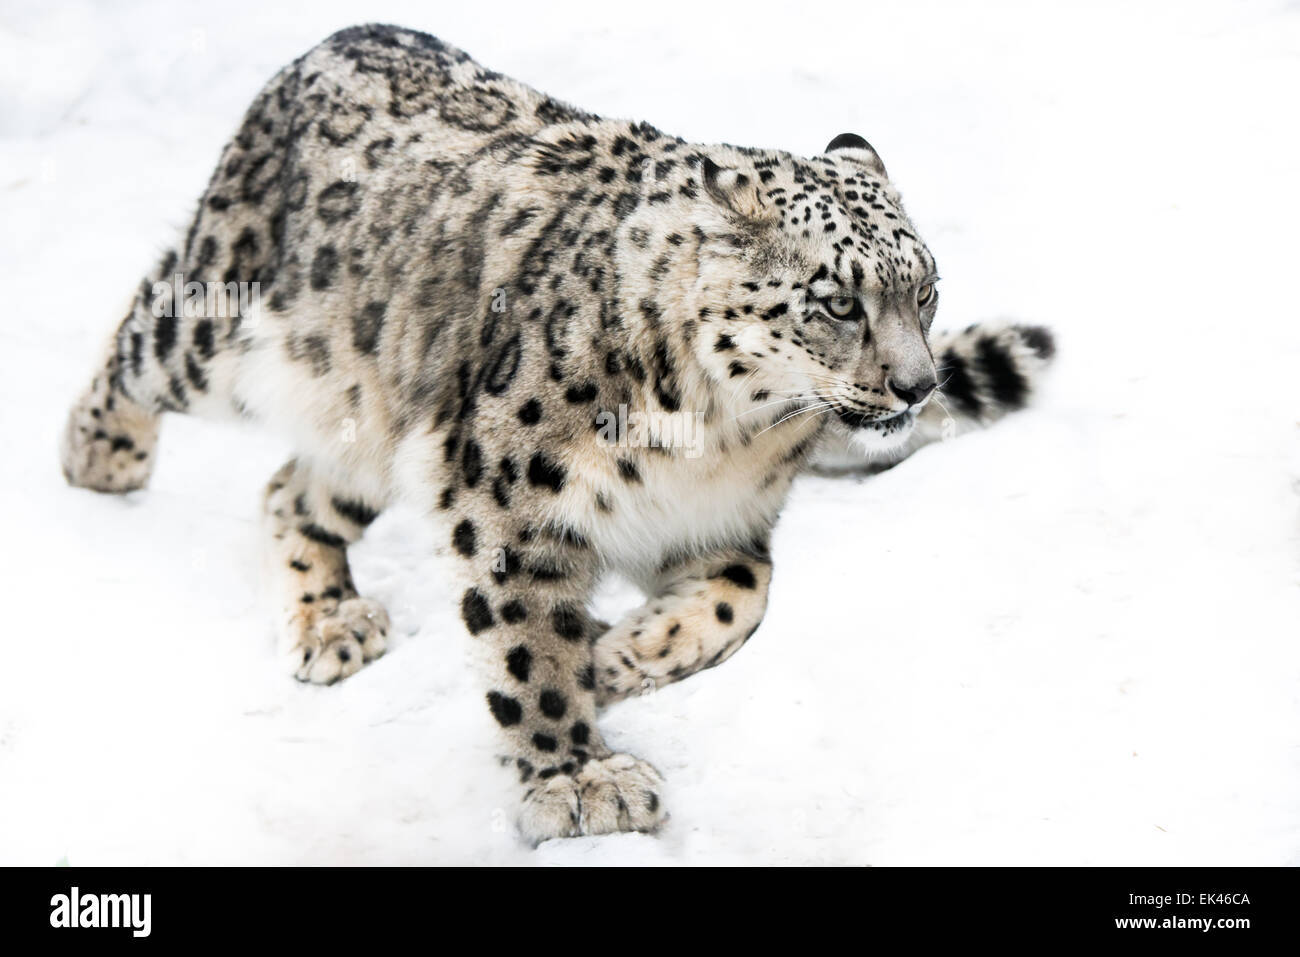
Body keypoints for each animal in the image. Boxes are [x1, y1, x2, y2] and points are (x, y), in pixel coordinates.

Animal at [59, 24, 1054, 844]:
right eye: (839, 301)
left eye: (927, 291)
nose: (917, 384)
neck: (728, 434)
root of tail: (333, 39)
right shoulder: (508, 499)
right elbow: (528, 645)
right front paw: (580, 781)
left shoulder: (721, 521)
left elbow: (741, 600)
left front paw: (617, 656)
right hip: (217, 323)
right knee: (146, 330)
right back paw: (102, 456)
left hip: (378, 422)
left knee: (289, 490)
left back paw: (330, 618)